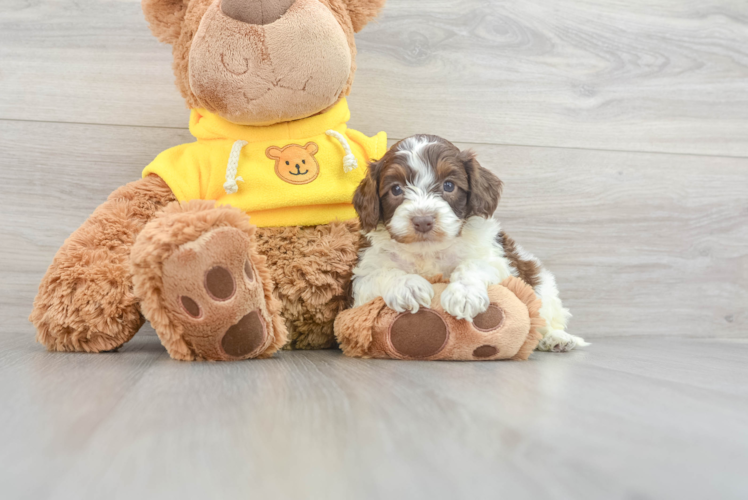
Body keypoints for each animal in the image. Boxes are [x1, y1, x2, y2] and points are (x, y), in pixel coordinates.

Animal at [354, 134, 588, 352]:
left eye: (449, 185)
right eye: (396, 189)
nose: (423, 221)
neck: (429, 251)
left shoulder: (498, 261)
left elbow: (474, 264)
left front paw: (464, 294)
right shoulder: (361, 279)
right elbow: (382, 273)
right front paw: (408, 286)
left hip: (542, 287)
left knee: (544, 317)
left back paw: (557, 338)